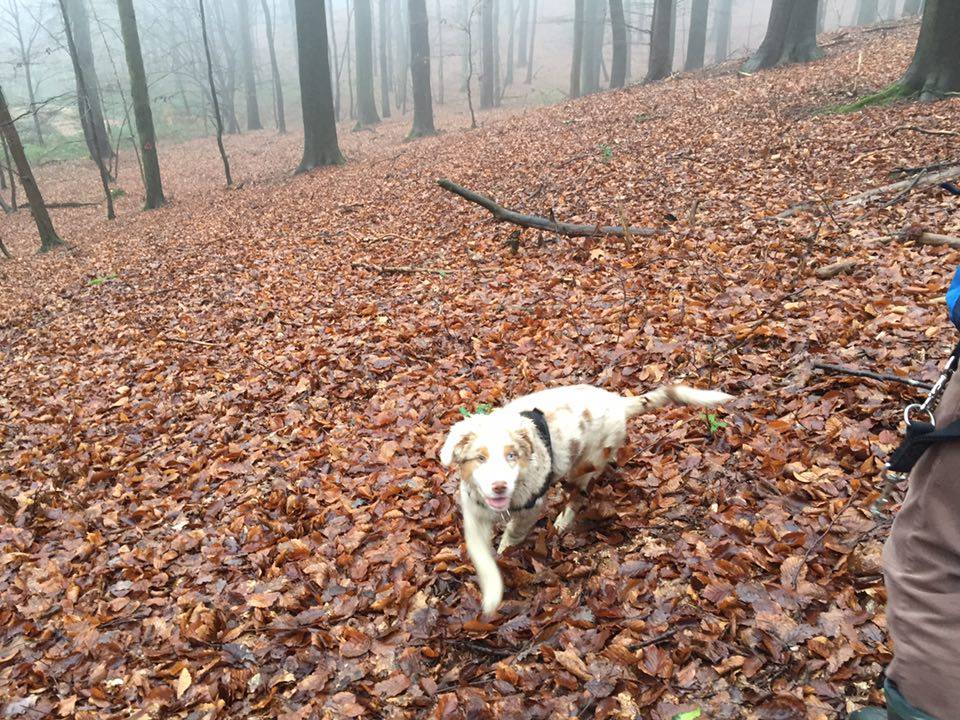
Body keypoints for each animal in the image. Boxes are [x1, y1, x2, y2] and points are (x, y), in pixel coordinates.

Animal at [439, 383, 735, 615]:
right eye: (480, 458)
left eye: (512, 455)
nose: (499, 486)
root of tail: (617, 402)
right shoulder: (474, 513)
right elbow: (479, 552)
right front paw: (491, 590)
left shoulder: (531, 506)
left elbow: (512, 534)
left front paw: (504, 557)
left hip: (584, 464)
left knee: (578, 497)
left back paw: (562, 521)